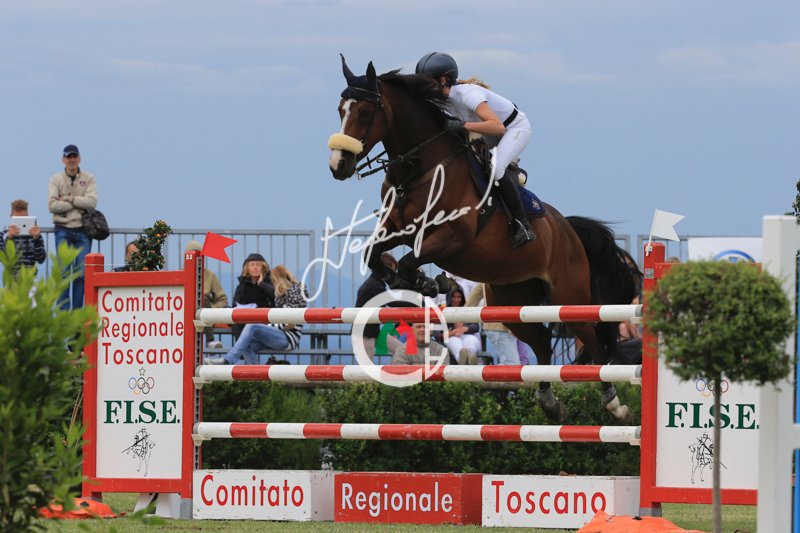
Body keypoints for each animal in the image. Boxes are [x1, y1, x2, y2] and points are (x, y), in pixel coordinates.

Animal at [327, 56, 640, 424]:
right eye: (340, 110)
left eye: (365, 112)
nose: (338, 165)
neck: (420, 170)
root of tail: (568, 229)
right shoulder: (397, 229)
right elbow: (375, 255)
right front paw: (421, 282)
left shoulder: (453, 239)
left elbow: (407, 260)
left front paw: (430, 282)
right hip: (513, 298)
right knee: (541, 342)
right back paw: (549, 403)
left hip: (569, 295)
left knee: (592, 340)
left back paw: (614, 405)